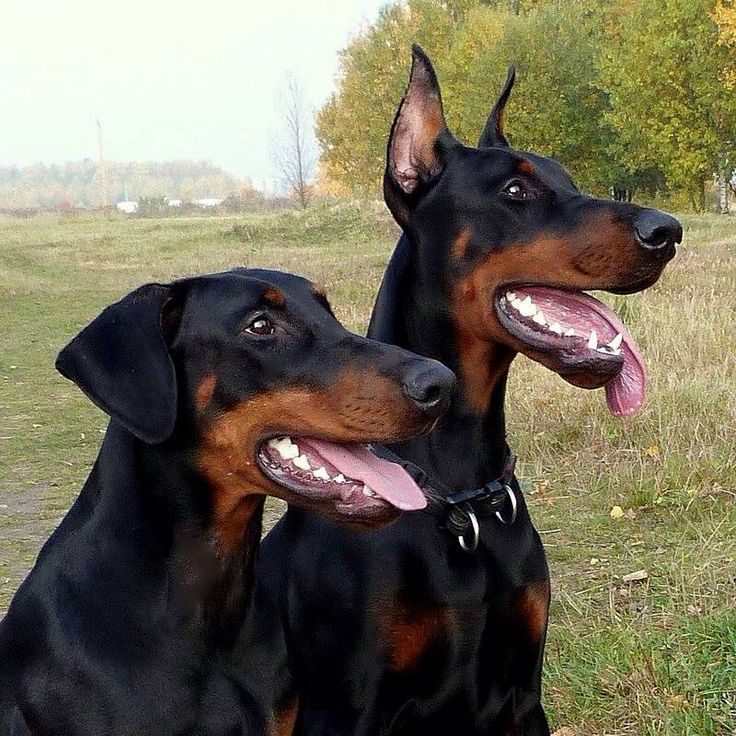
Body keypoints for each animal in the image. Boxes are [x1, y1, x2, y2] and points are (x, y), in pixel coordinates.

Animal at [256, 47, 680, 736]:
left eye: (568, 180)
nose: (667, 231)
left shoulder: (523, 695)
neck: (461, 497)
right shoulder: (349, 709)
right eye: (516, 190)